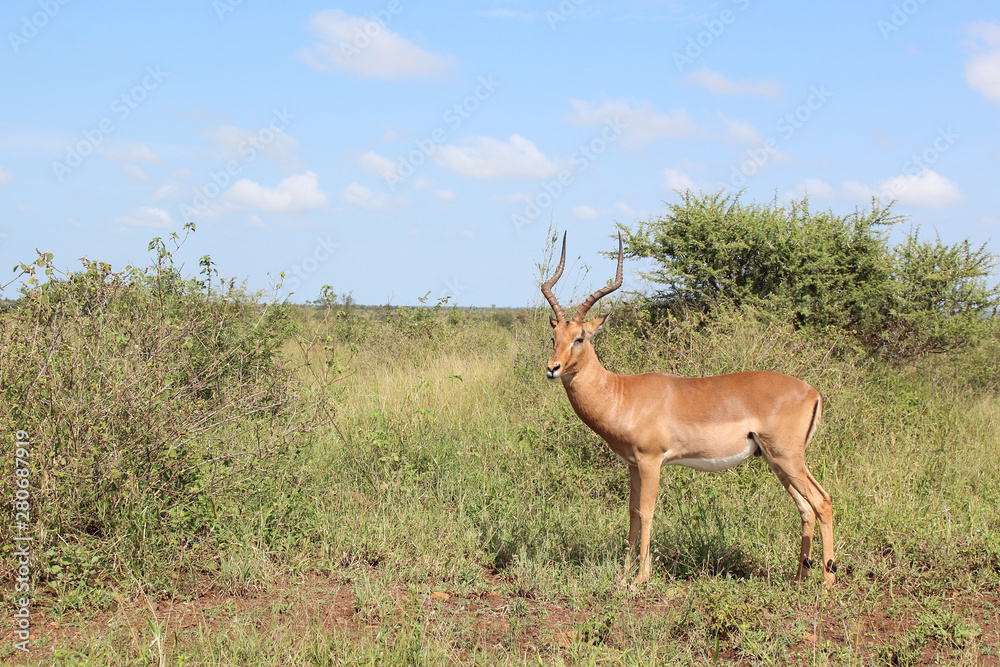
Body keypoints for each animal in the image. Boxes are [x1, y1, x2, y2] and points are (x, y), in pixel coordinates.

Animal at [541, 232, 837, 588]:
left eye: (580, 337)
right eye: (554, 335)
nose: (552, 368)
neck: (623, 394)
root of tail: (813, 392)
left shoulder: (651, 461)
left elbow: (647, 512)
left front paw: (640, 578)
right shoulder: (632, 465)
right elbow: (631, 513)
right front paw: (623, 575)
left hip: (788, 458)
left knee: (822, 501)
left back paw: (828, 582)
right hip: (777, 461)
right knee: (806, 507)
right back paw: (798, 577)